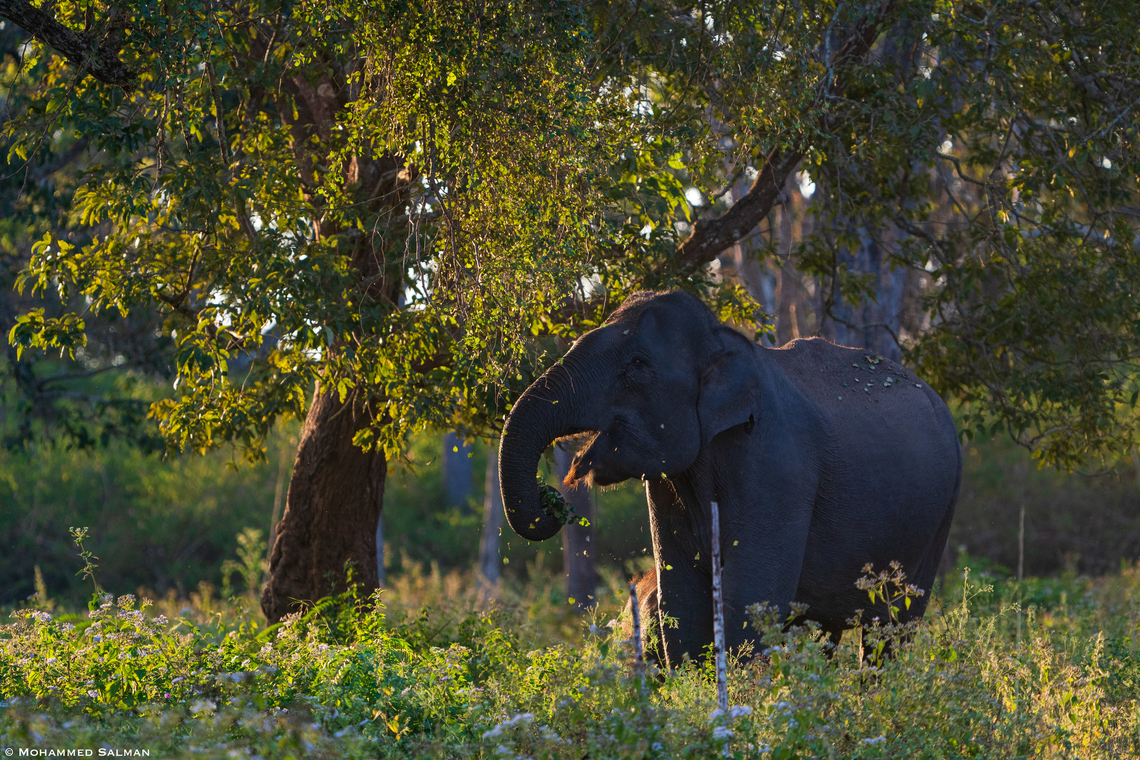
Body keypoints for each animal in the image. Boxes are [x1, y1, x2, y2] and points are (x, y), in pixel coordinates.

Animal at [498, 291, 961, 667]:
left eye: (637, 365)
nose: (554, 501)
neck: (724, 341)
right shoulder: (669, 483)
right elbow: (681, 601)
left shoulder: (775, 467)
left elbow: (749, 603)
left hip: (940, 518)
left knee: (894, 630)